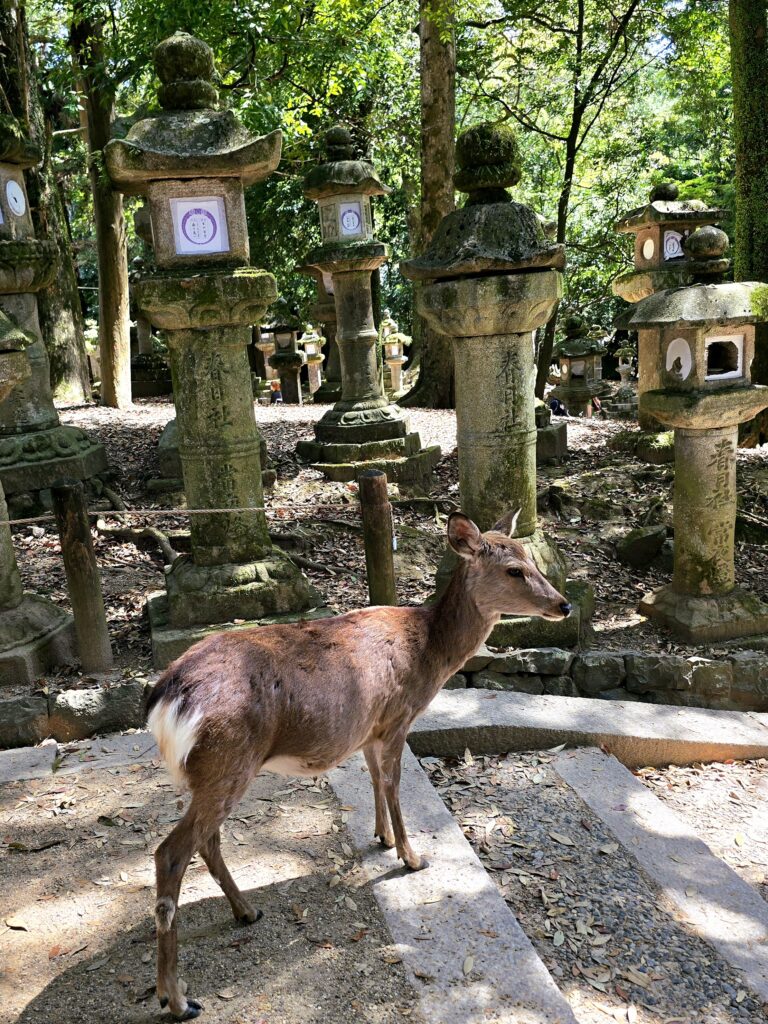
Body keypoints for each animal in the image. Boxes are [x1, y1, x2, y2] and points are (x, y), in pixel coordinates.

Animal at [145, 510, 571, 1019]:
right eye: (514, 570)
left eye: (534, 560)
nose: (565, 605)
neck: (432, 654)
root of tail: (165, 695)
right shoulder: (400, 715)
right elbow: (394, 783)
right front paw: (412, 857)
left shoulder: (371, 726)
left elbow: (373, 779)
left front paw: (382, 838)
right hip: (227, 761)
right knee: (171, 852)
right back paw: (177, 998)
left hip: (214, 771)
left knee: (206, 841)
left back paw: (246, 911)